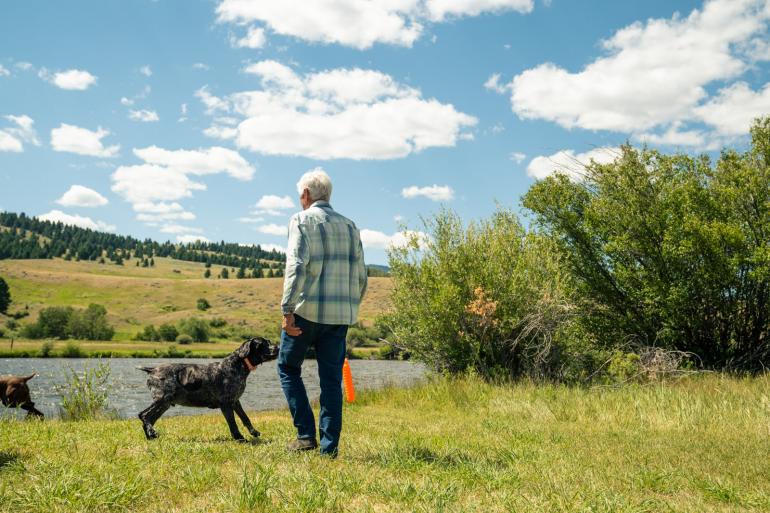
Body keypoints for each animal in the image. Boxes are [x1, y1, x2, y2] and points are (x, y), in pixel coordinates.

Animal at [136, 336, 278, 440]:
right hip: (163, 399)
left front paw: (254, 432)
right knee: (143, 415)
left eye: (269, 342)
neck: (237, 365)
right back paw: (152, 433)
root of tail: (153, 370)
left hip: (165, 404)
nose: (277, 347)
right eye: (263, 344)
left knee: (149, 419)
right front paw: (239, 438)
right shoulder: (226, 403)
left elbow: (245, 418)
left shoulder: (235, 402)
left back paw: (151, 436)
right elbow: (232, 423)